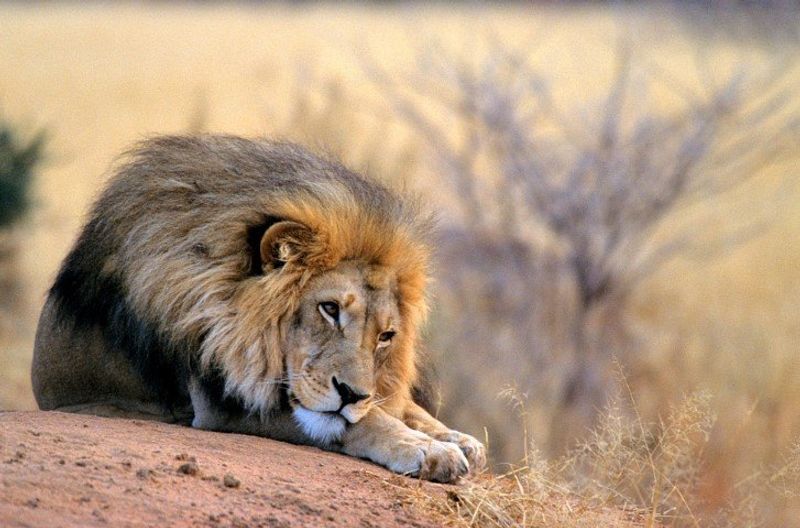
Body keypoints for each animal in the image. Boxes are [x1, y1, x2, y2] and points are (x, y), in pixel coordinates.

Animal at [31, 135, 485, 483]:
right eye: (329, 309)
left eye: (387, 336)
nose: (352, 394)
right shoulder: (221, 402)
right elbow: (359, 422)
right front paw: (428, 450)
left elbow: (398, 408)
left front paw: (458, 439)